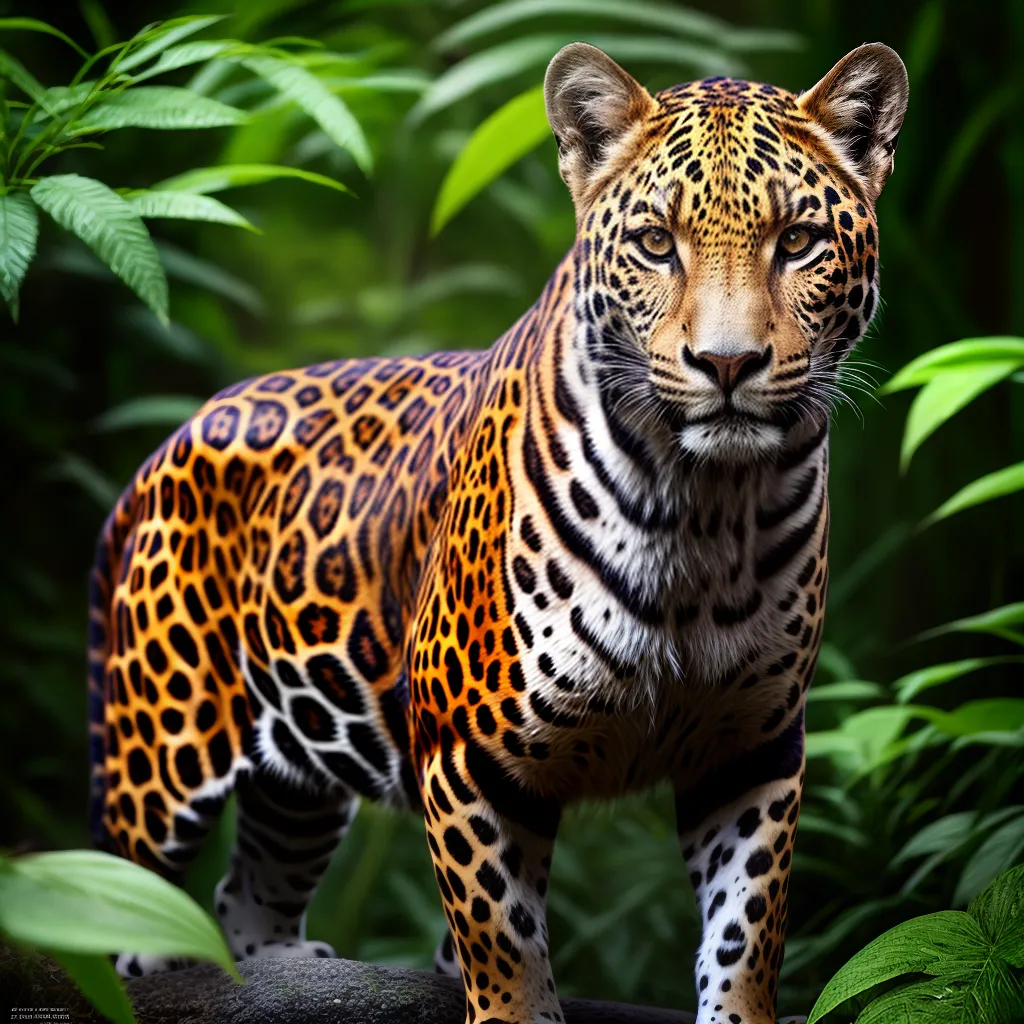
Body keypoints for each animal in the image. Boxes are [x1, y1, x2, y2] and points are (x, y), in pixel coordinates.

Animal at [87, 41, 908, 1024]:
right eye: (656, 244)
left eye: (798, 243)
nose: (728, 364)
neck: (705, 510)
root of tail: (167, 442)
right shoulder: (465, 755)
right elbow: (502, 942)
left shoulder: (752, 749)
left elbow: (746, 931)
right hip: (160, 747)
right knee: (117, 893)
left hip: (297, 769)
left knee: (246, 889)